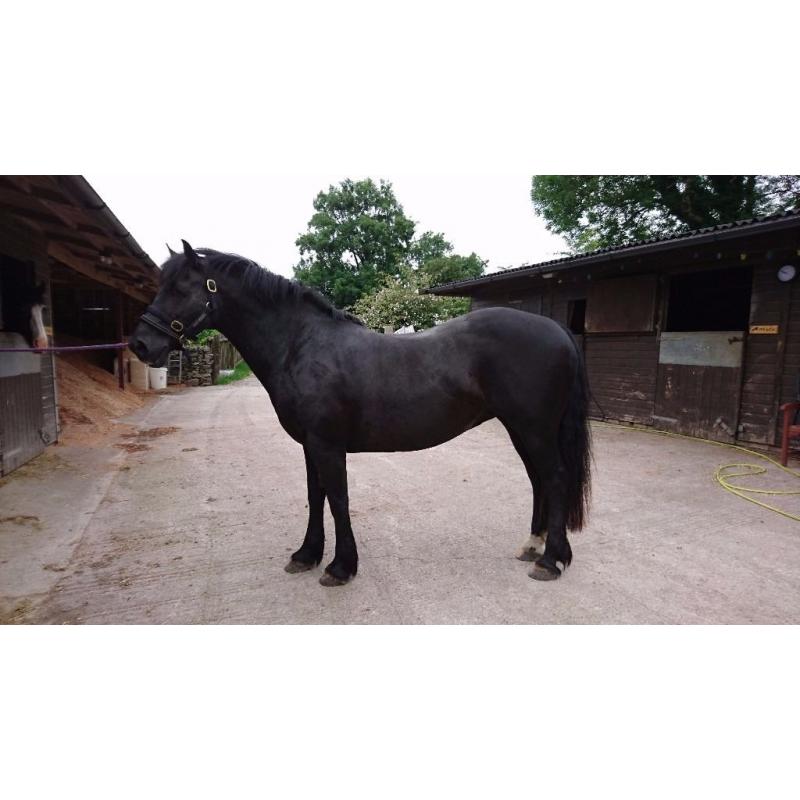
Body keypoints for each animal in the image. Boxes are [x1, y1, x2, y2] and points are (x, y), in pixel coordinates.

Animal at [129, 241, 592, 586]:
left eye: (181, 287)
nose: (140, 345)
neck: (301, 345)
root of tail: (556, 329)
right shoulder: (310, 446)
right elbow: (315, 497)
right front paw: (306, 555)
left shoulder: (328, 445)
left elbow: (338, 500)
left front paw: (340, 567)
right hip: (521, 429)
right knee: (539, 480)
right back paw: (534, 547)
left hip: (533, 429)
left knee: (554, 478)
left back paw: (551, 561)